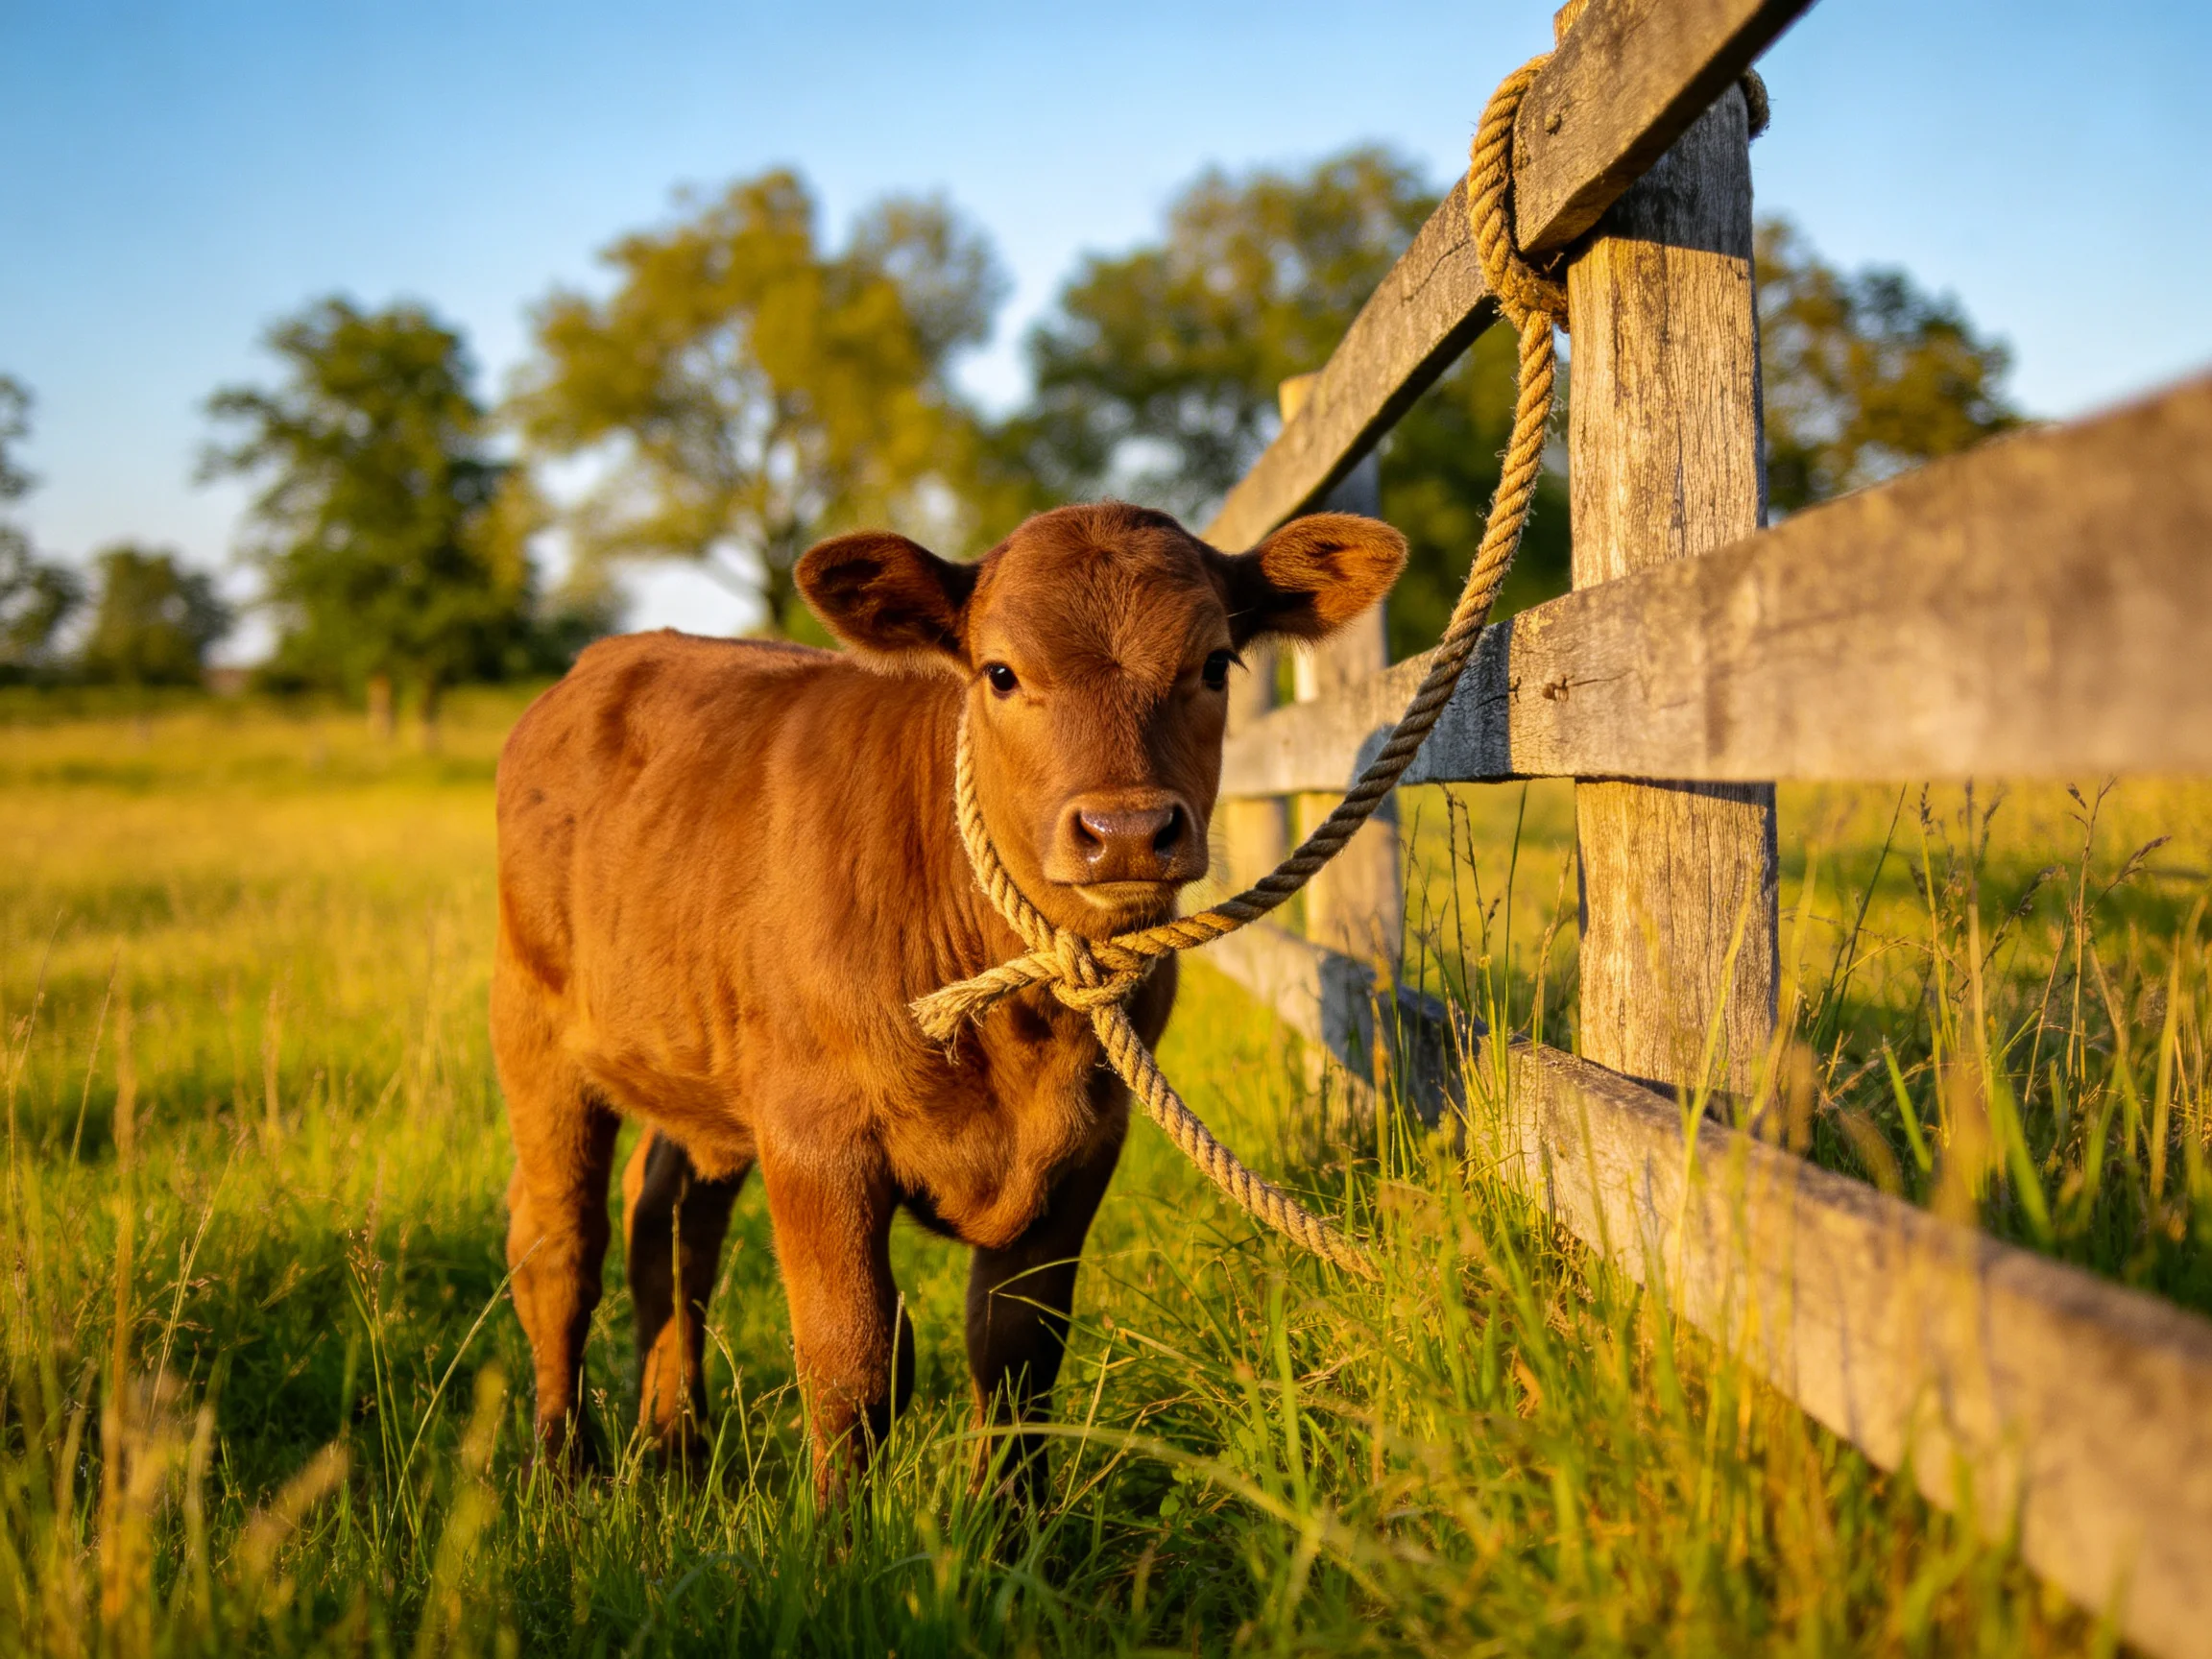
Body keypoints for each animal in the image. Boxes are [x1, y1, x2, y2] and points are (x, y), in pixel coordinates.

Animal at [490, 500, 1405, 1497]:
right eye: (1000, 673)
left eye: (1214, 665)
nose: (1126, 829)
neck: (1026, 1030)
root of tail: (603, 661)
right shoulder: (814, 1135)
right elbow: (853, 1356)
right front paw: (843, 1534)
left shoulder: (1085, 1144)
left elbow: (1017, 1348)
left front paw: (1012, 1520)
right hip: (534, 1032)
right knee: (558, 1247)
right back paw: (560, 1464)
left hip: (693, 1062)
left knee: (670, 1228)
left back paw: (678, 1440)